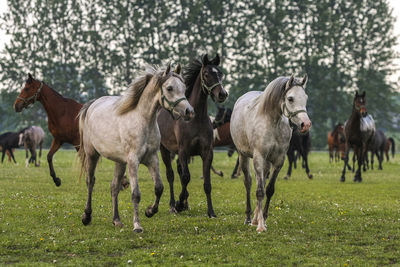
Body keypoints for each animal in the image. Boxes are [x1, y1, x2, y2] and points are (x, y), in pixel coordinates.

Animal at [77, 63, 194, 233]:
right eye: (170, 88)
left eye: (184, 88)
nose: (189, 112)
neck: (143, 121)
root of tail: (92, 104)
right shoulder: (133, 161)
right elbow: (136, 194)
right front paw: (137, 225)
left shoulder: (152, 159)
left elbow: (159, 187)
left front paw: (150, 211)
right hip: (92, 155)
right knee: (90, 182)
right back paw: (87, 216)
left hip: (120, 161)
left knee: (114, 187)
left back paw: (116, 220)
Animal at [159, 54, 228, 218]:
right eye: (206, 74)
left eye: (220, 73)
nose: (222, 94)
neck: (197, 119)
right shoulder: (184, 151)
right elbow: (186, 177)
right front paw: (179, 203)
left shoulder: (207, 152)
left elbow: (207, 183)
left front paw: (211, 212)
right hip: (165, 150)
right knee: (171, 175)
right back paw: (173, 205)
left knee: (178, 171)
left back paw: (186, 204)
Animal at [230, 74, 310, 232]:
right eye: (290, 98)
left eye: (305, 97)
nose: (306, 124)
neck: (272, 123)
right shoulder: (259, 157)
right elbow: (259, 191)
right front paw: (261, 226)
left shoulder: (278, 160)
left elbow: (269, 189)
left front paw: (264, 219)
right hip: (244, 156)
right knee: (249, 183)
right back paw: (249, 218)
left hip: (266, 162)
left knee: (260, 181)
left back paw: (255, 218)